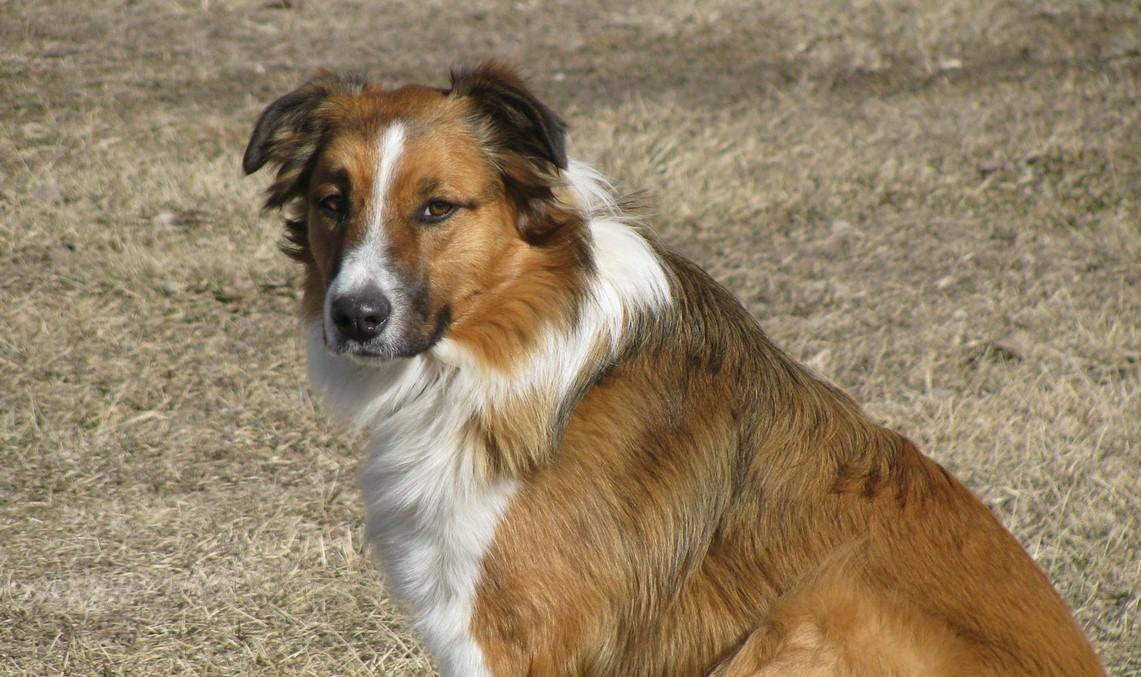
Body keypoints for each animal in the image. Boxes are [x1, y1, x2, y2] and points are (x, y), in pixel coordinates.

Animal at [243, 60, 1104, 671]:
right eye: (332, 202)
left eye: (436, 208)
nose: (353, 315)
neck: (523, 337)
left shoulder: (511, 637)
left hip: (818, 607)